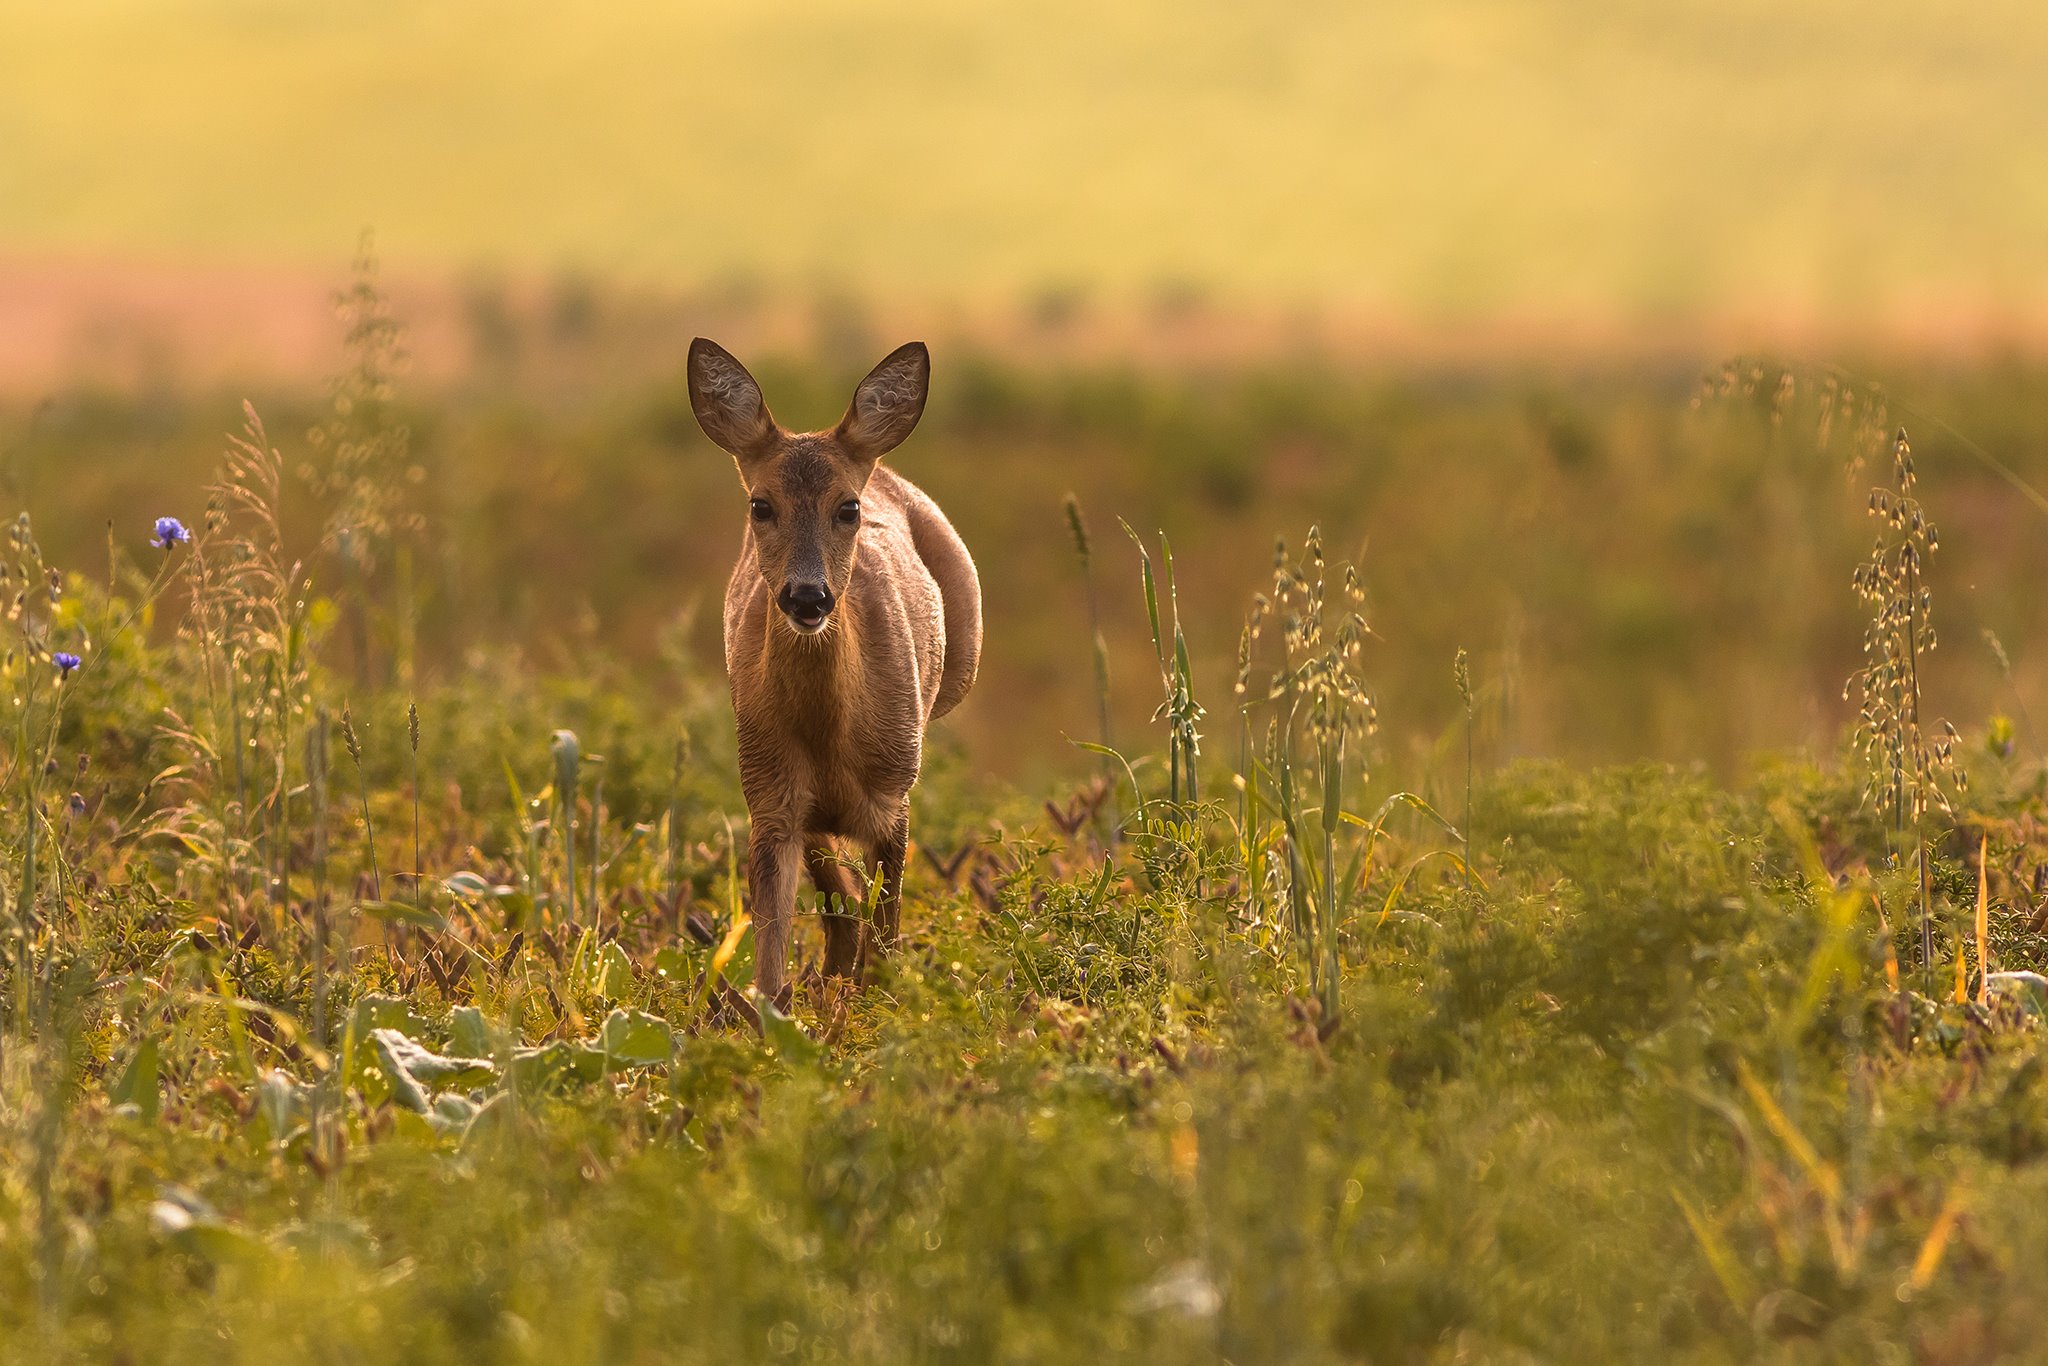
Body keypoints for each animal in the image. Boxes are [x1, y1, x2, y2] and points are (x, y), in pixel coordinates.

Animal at [684, 339, 978, 1003]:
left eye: (848, 507)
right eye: (760, 505)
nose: (807, 596)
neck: (831, 735)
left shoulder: (894, 792)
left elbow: (887, 932)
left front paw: (882, 1006)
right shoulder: (769, 794)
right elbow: (773, 955)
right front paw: (781, 1009)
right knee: (839, 908)